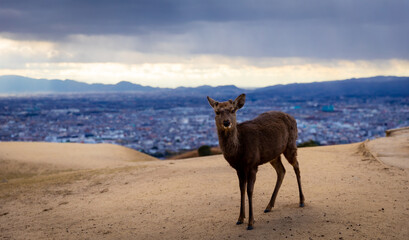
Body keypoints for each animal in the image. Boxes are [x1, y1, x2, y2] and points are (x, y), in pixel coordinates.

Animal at [207, 94, 302, 231]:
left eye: (232, 110)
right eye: (217, 112)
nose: (226, 122)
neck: (238, 151)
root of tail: (293, 118)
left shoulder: (252, 164)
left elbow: (249, 191)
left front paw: (251, 222)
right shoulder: (239, 168)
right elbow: (241, 189)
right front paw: (240, 218)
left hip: (291, 144)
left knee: (296, 166)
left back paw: (301, 201)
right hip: (273, 155)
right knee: (282, 170)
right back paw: (269, 206)